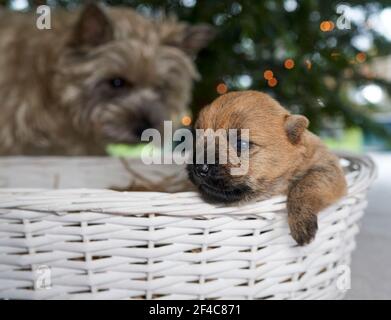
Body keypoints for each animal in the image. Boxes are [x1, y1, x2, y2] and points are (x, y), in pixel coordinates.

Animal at [188, 91, 348, 246]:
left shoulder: (328, 167)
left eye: (241, 144)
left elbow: (306, 184)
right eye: (198, 137)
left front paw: (301, 222)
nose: (199, 167)